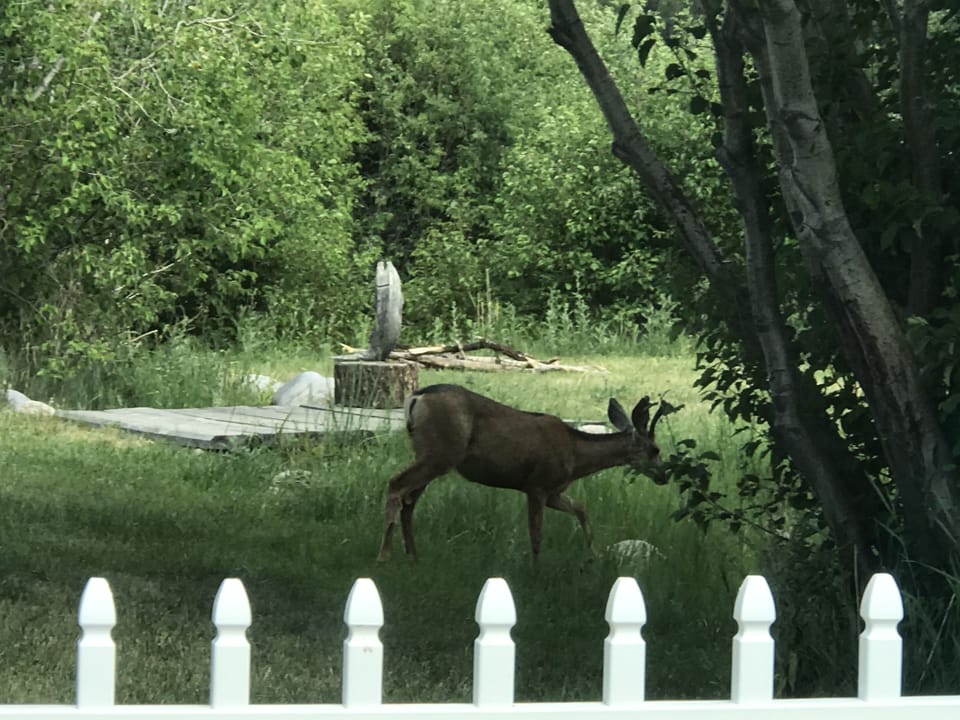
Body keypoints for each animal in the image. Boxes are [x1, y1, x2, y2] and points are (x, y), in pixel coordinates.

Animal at [377, 383, 667, 561]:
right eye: (655, 449)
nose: (664, 477)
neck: (575, 455)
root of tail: (416, 397)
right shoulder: (537, 485)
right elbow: (536, 533)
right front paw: (536, 570)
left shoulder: (553, 491)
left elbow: (581, 508)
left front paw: (594, 554)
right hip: (441, 452)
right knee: (396, 485)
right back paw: (385, 555)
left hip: (428, 453)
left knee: (409, 501)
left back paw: (413, 555)